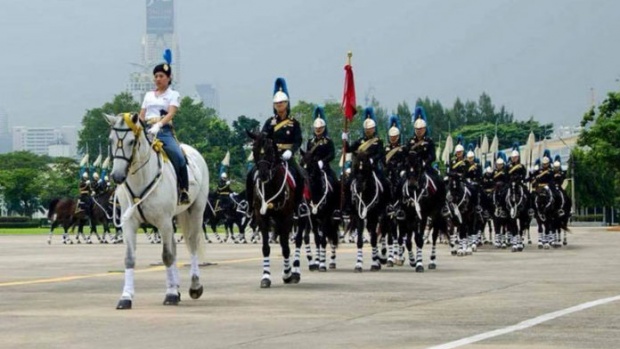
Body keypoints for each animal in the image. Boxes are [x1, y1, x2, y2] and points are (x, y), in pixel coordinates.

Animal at [104, 113, 211, 308]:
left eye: (132, 141)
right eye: (110, 140)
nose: (117, 176)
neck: (141, 177)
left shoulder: (163, 221)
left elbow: (167, 256)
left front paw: (170, 295)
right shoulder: (129, 223)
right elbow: (129, 258)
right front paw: (126, 297)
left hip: (195, 210)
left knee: (192, 244)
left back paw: (194, 286)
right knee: (175, 247)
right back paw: (176, 287)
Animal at [247, 132, 298, 286]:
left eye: (270, 151)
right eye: (255, 150)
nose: (263, 174)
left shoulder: (287, 218)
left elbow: (286, 248)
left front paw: (287, 274)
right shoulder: (262, 217)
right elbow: (265, 248)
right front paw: (265, 277)